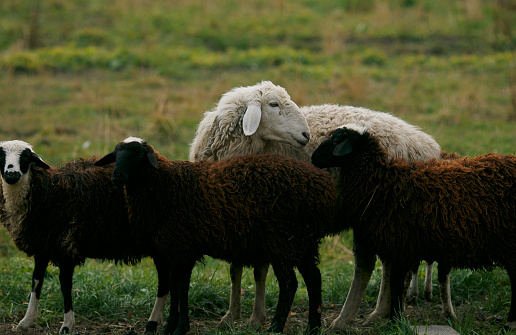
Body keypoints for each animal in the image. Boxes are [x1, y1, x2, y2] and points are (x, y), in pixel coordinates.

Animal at [0, 140, 169, 335]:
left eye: (26, 156)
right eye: (1, 156)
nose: (11, 174)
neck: (50, 192)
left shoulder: (66, 247)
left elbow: (65, 285)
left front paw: (67, 325)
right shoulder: (42, 247)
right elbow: (36, 282)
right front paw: (26, 321)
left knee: (164, 278)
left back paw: (153, 321)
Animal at [95, 137, 338, 335]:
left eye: (137, 155)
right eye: (115, 155)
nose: (116, 176)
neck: (167, 186)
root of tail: (320, 185)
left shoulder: (183, 247)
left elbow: (181, 287)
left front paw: (180, 328)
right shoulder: (172, 250)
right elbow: (173, 287)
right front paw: (170, 326)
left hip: (282, 240)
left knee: (289, 283)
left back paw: (276, 327)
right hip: (302, 240)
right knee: (314, 278)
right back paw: (313, 327)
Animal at [187, 82, 442, 330]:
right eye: (273, 104)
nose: (306, 134)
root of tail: (428, 147)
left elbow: (257, 269)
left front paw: (253, 318)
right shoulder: (239, 219)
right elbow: (238, 270)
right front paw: (234, 316)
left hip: (376, 212)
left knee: (367, 265)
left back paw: (346, 319)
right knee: (389, 264)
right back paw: (380, 312)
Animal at [312, 126, 516, 330]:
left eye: (336, 140)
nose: (313, 158)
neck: (380, 183)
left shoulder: (399, 247)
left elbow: (395, 287)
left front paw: (395, 322)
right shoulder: (399, 249)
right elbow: (396, 286)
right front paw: (396, 319)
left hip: (508, 244)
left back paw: (509, 323)